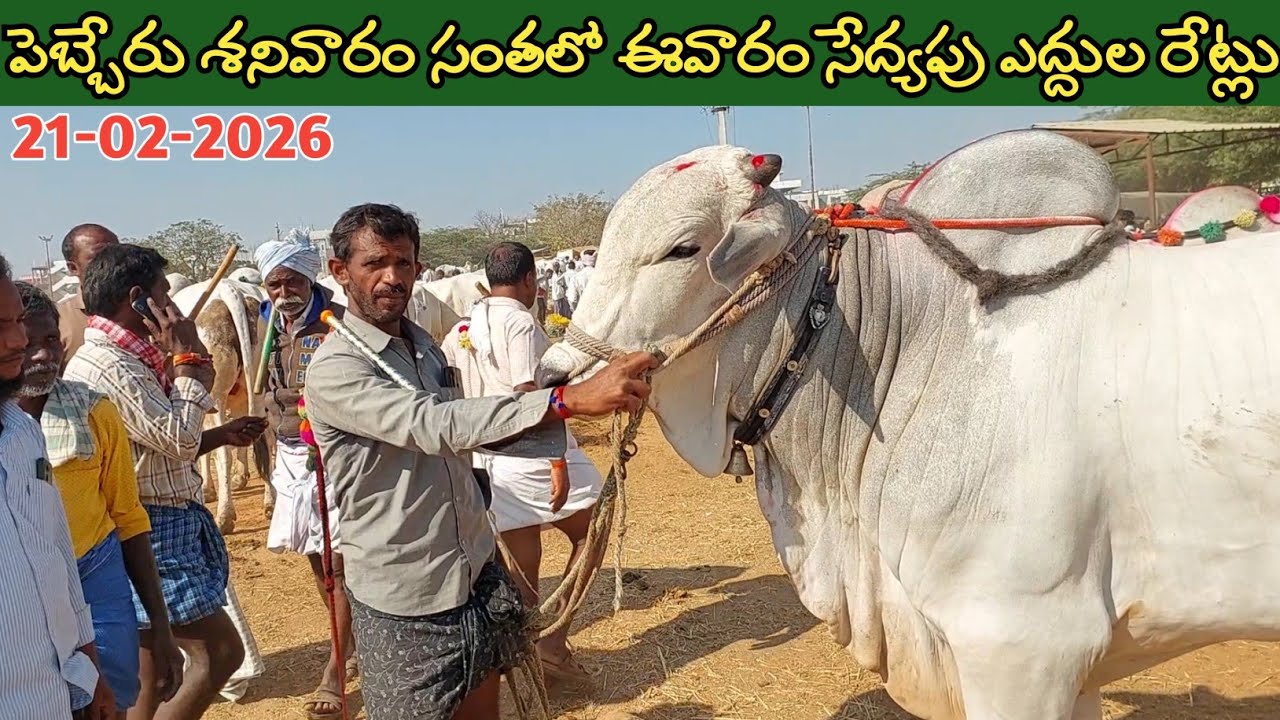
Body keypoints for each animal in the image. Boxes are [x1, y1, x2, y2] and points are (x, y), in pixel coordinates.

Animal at [171, 277, 272, 535]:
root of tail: (229, 290)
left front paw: (206, 489)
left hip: (216, 392)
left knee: (224, 451)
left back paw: (225, 516)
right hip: (258, 382)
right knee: (264, 437)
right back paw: (270, 503)